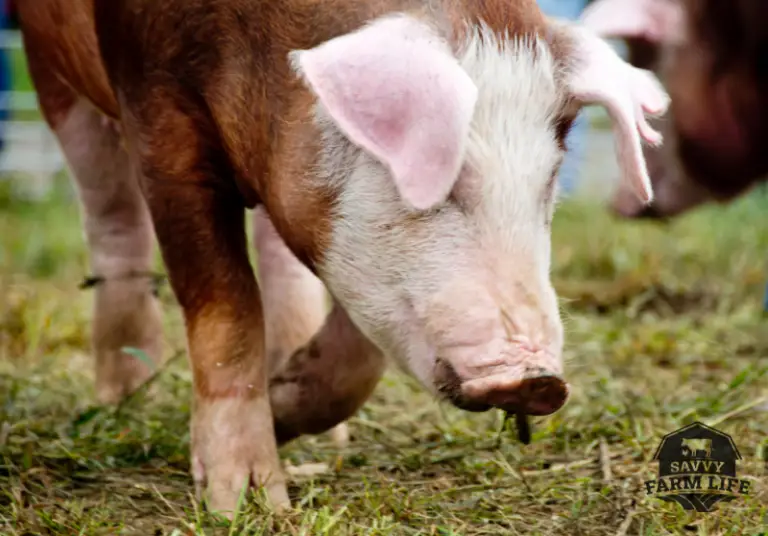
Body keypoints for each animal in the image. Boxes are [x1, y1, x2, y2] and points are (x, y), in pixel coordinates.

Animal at [18, 0, 668, 516]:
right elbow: (225, 302)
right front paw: (249, 504)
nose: (539, 381)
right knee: (109, 212)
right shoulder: (157, 110)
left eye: (549, 181)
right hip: (51, 67)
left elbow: (362, 341)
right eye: (447, 180)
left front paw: (284, 410)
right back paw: (126, 394)